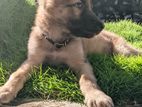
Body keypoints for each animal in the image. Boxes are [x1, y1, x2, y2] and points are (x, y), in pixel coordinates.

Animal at [0, 0, 141, 106]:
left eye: (90, 5)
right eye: (79, 4)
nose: (102, 26)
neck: (57, 42)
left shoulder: (81, 62)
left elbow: (87, 80)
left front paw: (97, 96)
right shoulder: (32, 61)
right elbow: (17, 74)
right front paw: (6, 89)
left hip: (123, 52)